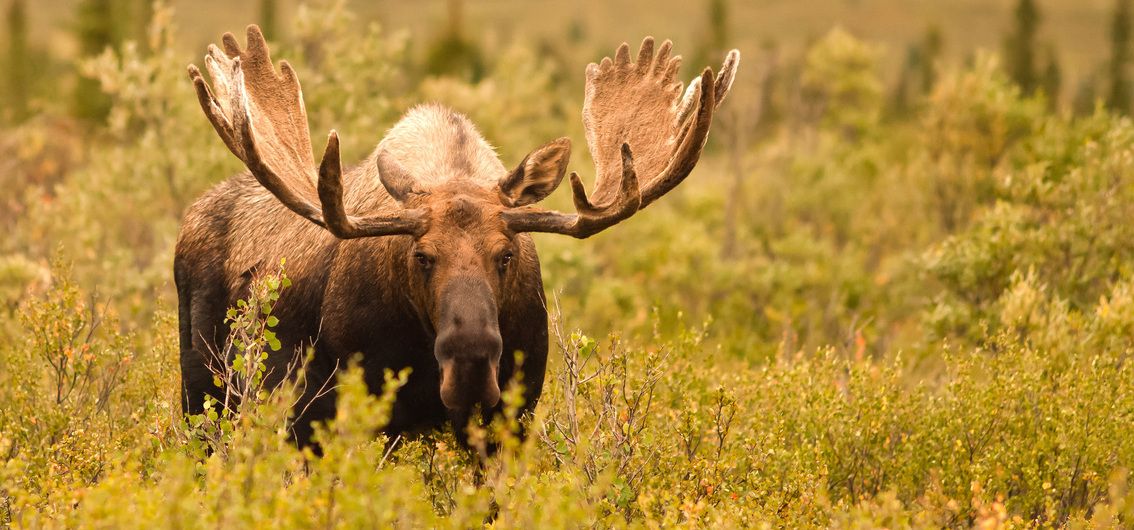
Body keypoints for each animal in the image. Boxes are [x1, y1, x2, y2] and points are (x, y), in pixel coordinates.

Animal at [176, 25, 739, 447]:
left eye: (506, 255)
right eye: (422, 256)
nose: (470, 361)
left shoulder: (511, 416)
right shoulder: (344, 413)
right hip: (205, 389)